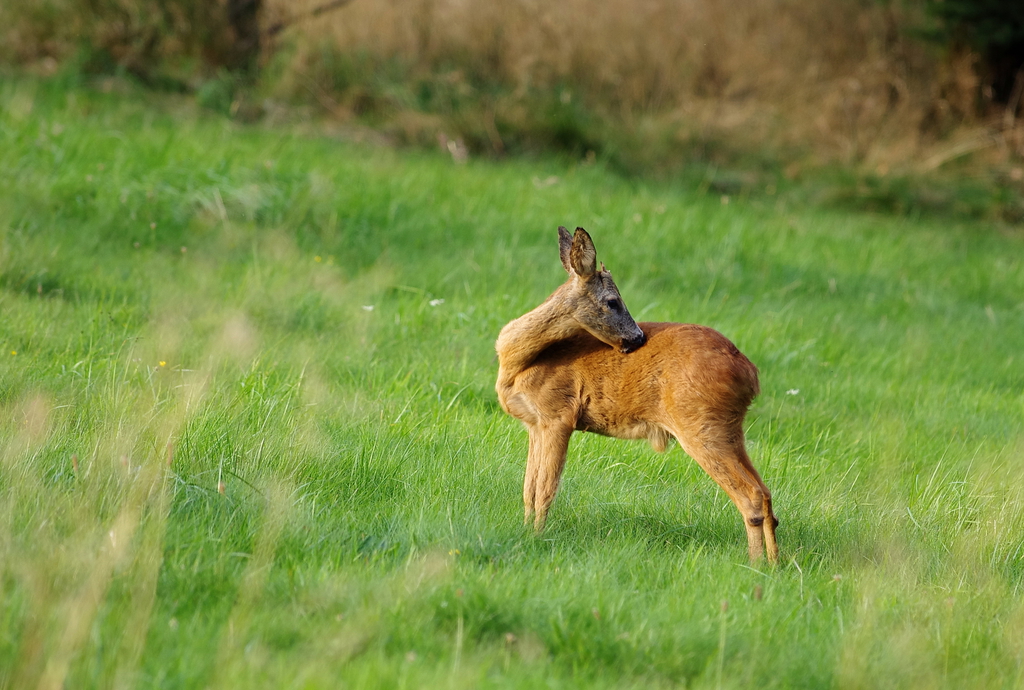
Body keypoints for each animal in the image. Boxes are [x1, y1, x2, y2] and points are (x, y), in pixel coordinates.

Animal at [493, 228, 774, 561]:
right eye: (613, 301)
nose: (638, 337)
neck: (519, 362)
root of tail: (749, 373)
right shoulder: (535, 424)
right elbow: (528, 488)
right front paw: (526, 532)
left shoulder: (558, 415)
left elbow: (545, 490)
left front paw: (537, 537)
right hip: (731, 429)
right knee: (765, 492)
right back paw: (774, 562)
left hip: (701, 424)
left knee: (751, 495)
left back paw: (757, 564)